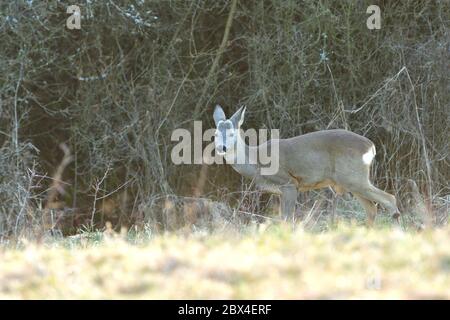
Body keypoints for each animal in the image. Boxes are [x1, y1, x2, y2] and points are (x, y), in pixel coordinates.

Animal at [214, 105, 400, 225]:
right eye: (215, 134)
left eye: (231, 133)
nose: (221, 148)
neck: (256, 161)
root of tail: (371, 146)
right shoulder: (280, 191)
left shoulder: (289, 183)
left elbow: (287, 220)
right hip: (352, 181)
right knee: (372, 209)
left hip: (353, 177)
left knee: (389, 200)